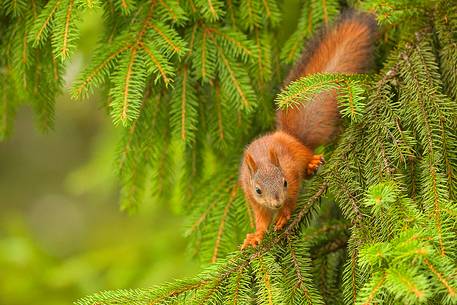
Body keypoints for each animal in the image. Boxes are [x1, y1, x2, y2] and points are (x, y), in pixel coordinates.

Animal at [239, 10, 374, 248]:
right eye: (258, 190)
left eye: (283, 182)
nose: (276, 202)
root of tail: (287, 135)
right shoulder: (251, 197)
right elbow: (261, 219)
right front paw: (256, 235)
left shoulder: (291, 175)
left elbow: (292, 198)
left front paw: (283, 215)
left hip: (299, 152)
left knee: (307, 157)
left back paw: (312, 162)